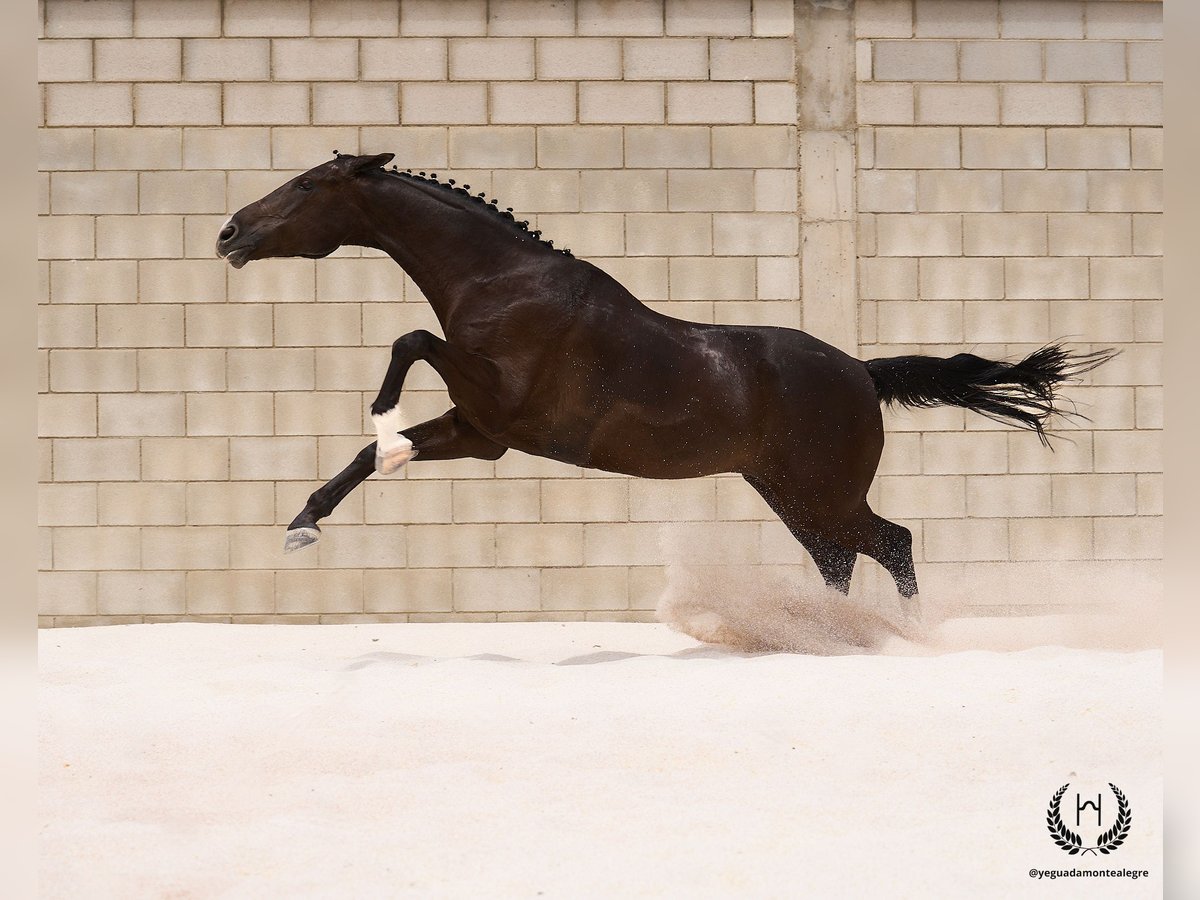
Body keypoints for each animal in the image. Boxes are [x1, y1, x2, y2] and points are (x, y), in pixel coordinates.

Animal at [218, 154, 1113, 619]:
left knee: (891, 543)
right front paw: (304, 524)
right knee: (845, 556)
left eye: (307, 185)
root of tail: (861, 372)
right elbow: (369, 459)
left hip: (820, 491)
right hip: (791, 493)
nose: (228, 232)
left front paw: (379, 410)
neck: (504, 282)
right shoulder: (482, 434)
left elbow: (410, 341)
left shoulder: (505, 407)